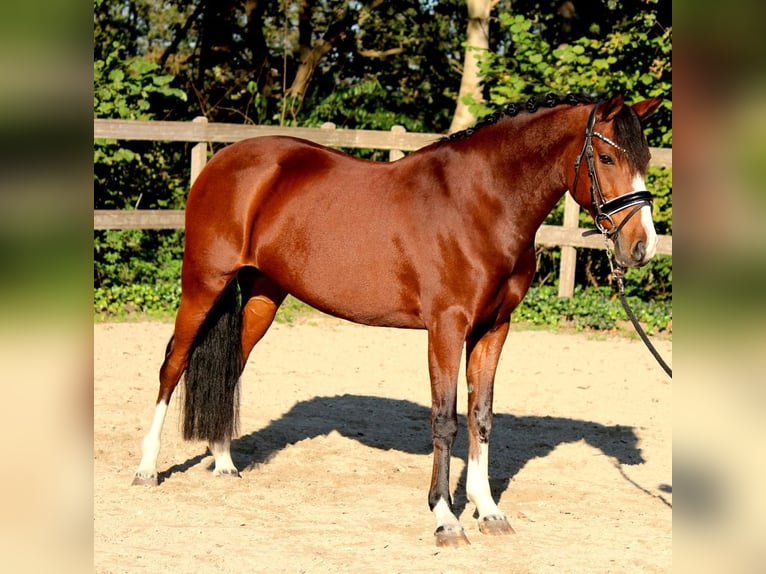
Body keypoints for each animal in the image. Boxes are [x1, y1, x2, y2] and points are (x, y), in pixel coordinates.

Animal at [135, 94, 664, 548]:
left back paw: (224, 462)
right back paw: (146, 469)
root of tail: (221, 160)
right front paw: (445, 517)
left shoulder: (494, 329)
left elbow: (481, 416)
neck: (481, 203)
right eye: (608, 158)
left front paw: (488, 510)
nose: (642, 247)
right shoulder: (447, 328)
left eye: (645, 160)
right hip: (203, 284)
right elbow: (445, 421)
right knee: (173, 363)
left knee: (233, 366)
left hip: (265, 293)